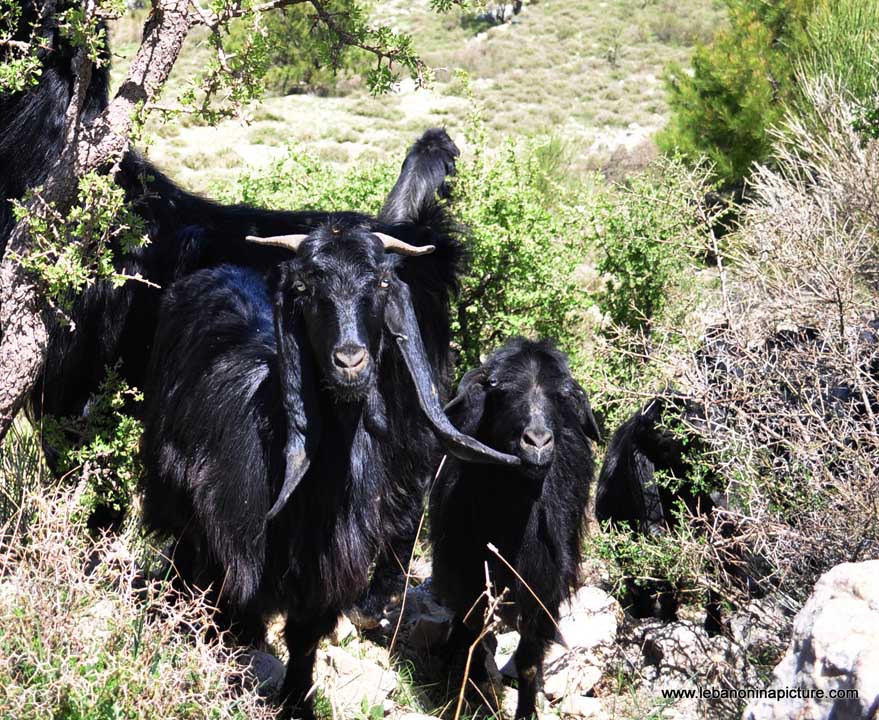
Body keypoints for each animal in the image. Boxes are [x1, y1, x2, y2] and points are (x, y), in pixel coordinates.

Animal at [141, 222, 520, 716]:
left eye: (380, 284)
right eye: (305, 289)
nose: (350, 361)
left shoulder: (329, 570)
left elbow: (304, 638)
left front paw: (297, 703)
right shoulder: (231, 541)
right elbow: (232, 607)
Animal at [430, 338, 600, 720]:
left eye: (561, 396)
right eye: (501, 391)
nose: (536, 442)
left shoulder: (544, 588)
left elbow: (528, 661)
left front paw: (524, 710)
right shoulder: (467, 573)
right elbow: (472, 633)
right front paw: (469, 689)